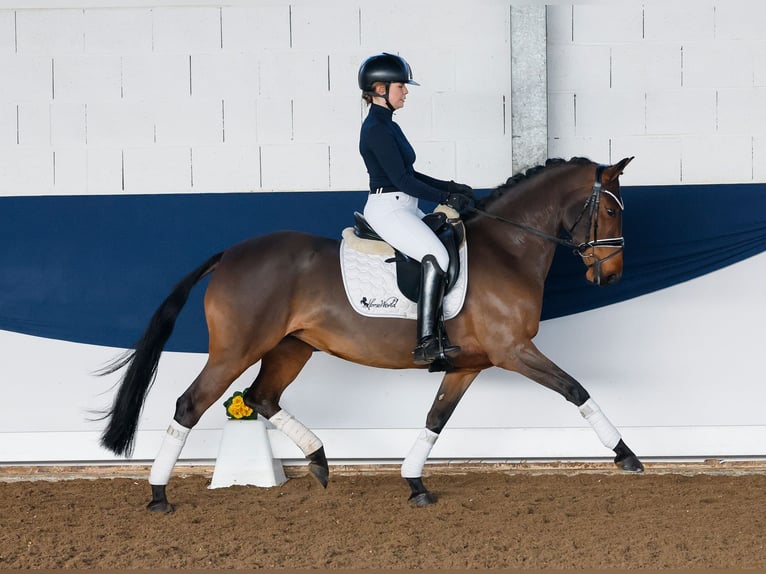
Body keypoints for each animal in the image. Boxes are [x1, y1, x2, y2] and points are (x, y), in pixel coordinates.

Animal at [100, 154, 640, 512]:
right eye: (612, 211)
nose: (612, 276)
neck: (509, 248)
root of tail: (229, 255)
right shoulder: (513, 350)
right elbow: (575, 388)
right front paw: (627, 456)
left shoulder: (469, 364)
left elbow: (435, 419)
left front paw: (415, 484)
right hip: (236, 349)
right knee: (190, 405)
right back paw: (158, 495)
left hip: (291, 348)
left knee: (260, 398)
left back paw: (319, 460)